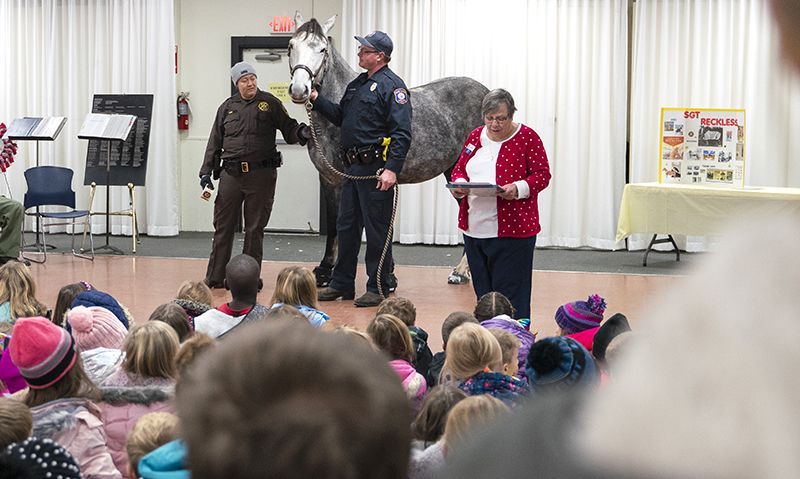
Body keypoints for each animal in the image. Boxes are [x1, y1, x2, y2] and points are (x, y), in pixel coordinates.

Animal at [290, 14, 488, 284]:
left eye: (322, 49)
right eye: (291, 45)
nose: (299, 89)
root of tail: (489, 95)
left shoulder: (351, 180)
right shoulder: (328, 180)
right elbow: (333, 224)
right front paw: (325, 270)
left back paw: (461, 271)